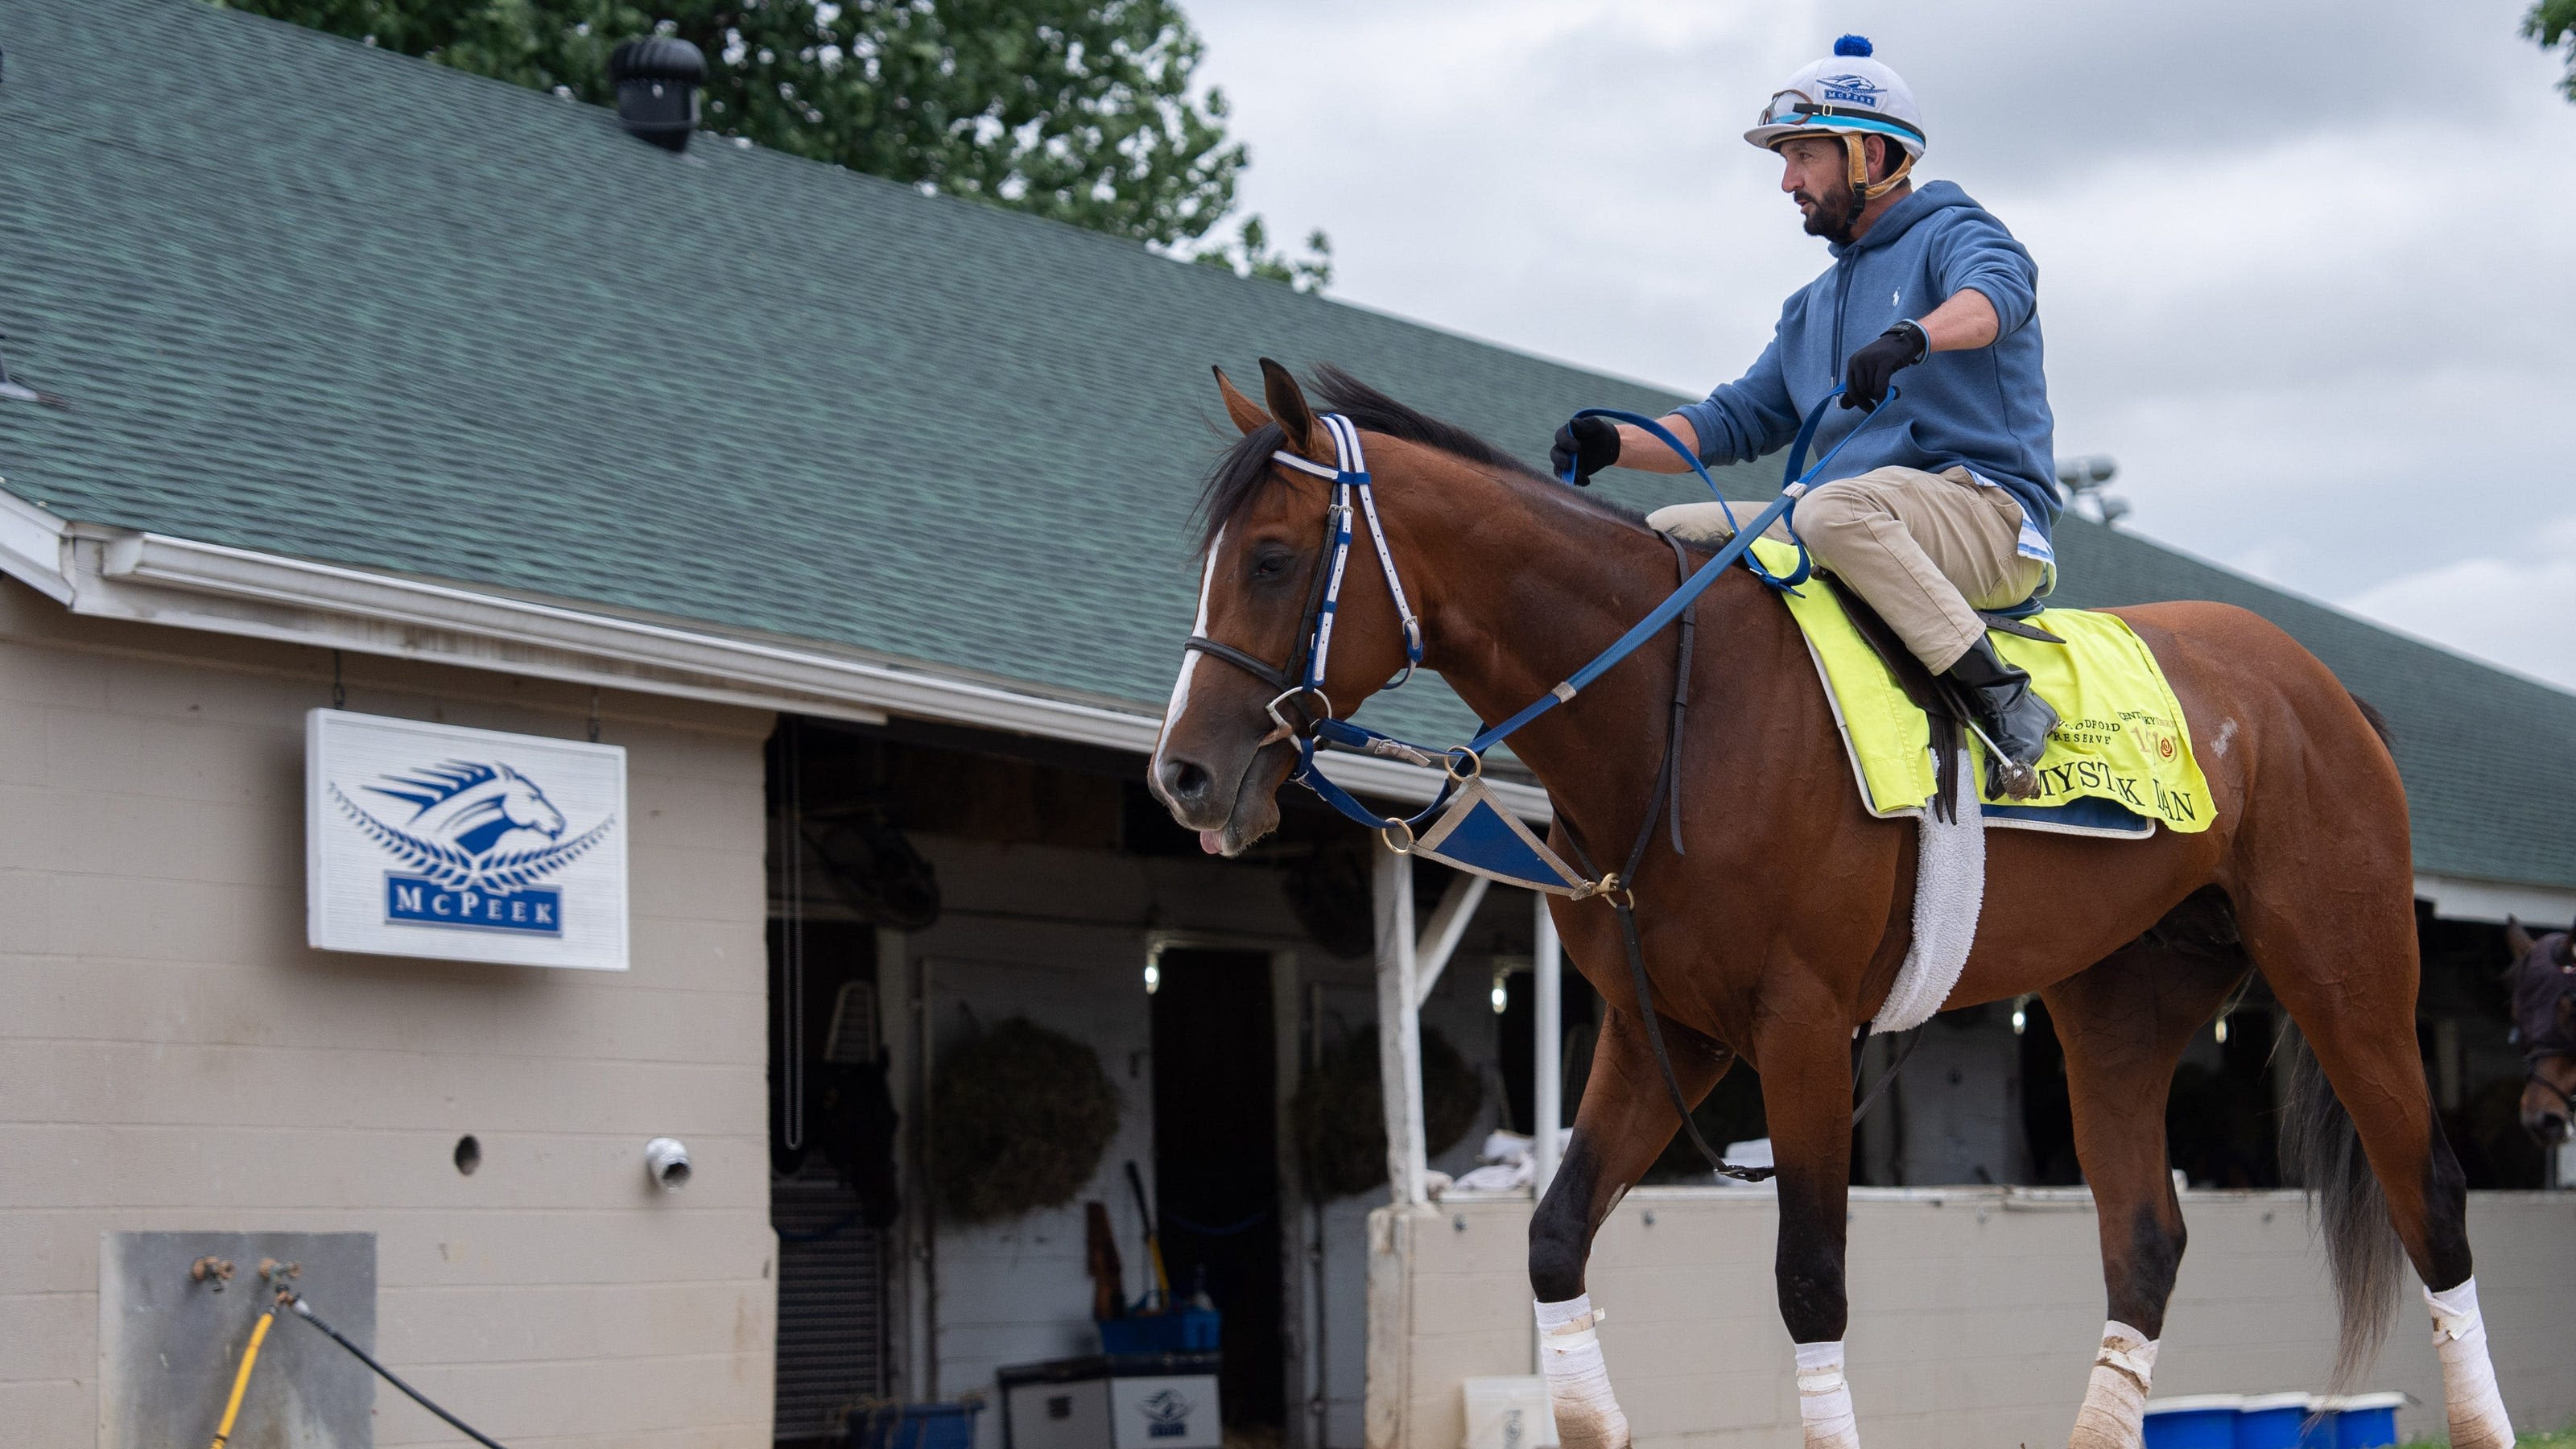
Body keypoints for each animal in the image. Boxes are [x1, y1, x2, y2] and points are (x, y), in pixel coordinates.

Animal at [1159, 358, 2524, 1443]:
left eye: (1272, 560)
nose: (1184, 774)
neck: (1673, 708)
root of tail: (2324, 691)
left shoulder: (1803, 1029)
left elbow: (1811, 1283)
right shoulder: (1667, 1034)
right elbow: (1553, 1242)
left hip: (2347, 975)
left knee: (2437, 1205)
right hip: (2118, 1011)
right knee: (2144, 1246)